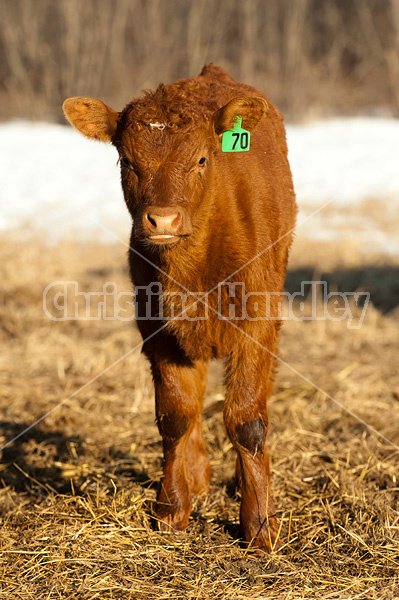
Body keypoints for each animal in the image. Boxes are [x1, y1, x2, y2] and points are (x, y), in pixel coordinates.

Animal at [63, 63, 296, 552]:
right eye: (126, 161)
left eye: (203, 159)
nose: (163, 220)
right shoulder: (156, 326)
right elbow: (174, 416)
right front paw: (171, 508)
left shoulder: (259, 322)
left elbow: (247, 420)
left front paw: (259, 524)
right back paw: (198, 475)